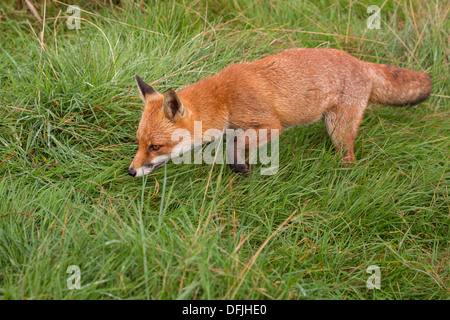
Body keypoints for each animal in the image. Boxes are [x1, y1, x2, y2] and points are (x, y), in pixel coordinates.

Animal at [128, 47, 430, 178]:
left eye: (155, 147)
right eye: (139, 142)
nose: (130, 172)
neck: (224, 99)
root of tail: (362, 63)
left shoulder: (272, 124)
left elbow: (233, 144)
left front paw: (239, 166)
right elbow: (233, 141)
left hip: (339, 130)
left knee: (350, 157)